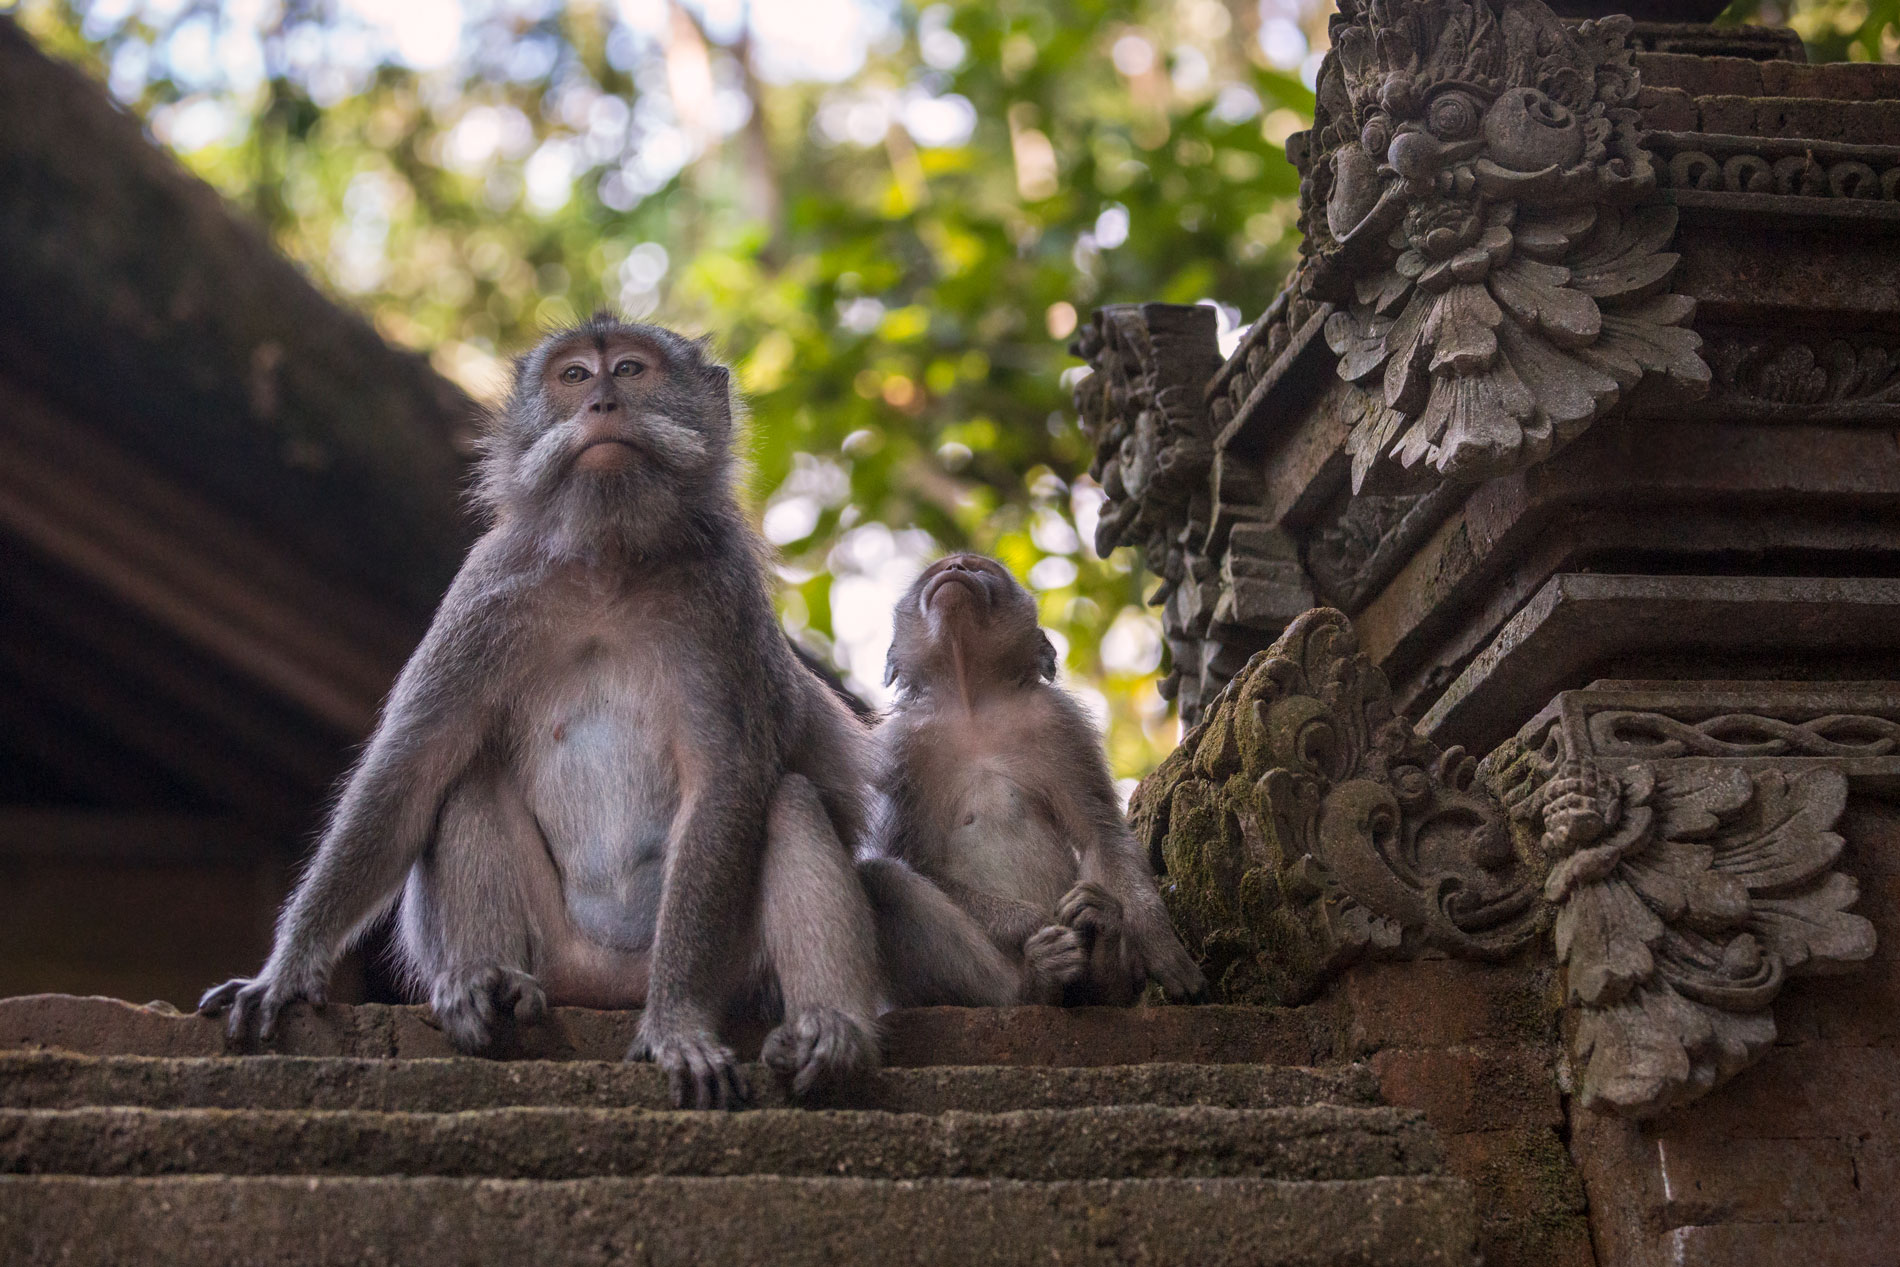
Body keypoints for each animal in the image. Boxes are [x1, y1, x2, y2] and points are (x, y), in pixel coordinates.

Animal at [200, 315, 882, 1109]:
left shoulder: (725, 600)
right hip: (560, 959)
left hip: (730, 969)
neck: (609, 565)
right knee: (464, 782)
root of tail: (608, 990)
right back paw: (485, 985)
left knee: (791, 803)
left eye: (631, 368)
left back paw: (828, 1030)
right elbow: (412, 768)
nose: (602, 403)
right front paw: (285, 971)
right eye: (574, 376)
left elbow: (726, 785)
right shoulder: (489, 590)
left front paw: (679, 1022)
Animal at [857, 553, 1205, 1009]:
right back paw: (1031, 984)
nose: (955, 568)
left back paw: (1107, 962)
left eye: (979, 568)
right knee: (885, 879)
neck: (972, 704)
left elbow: (1100, 832)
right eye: (936, 573)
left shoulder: (1059, 722)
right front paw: (1033, 920)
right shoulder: (898, 751)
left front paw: (1160, 942)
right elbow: (910, 860)